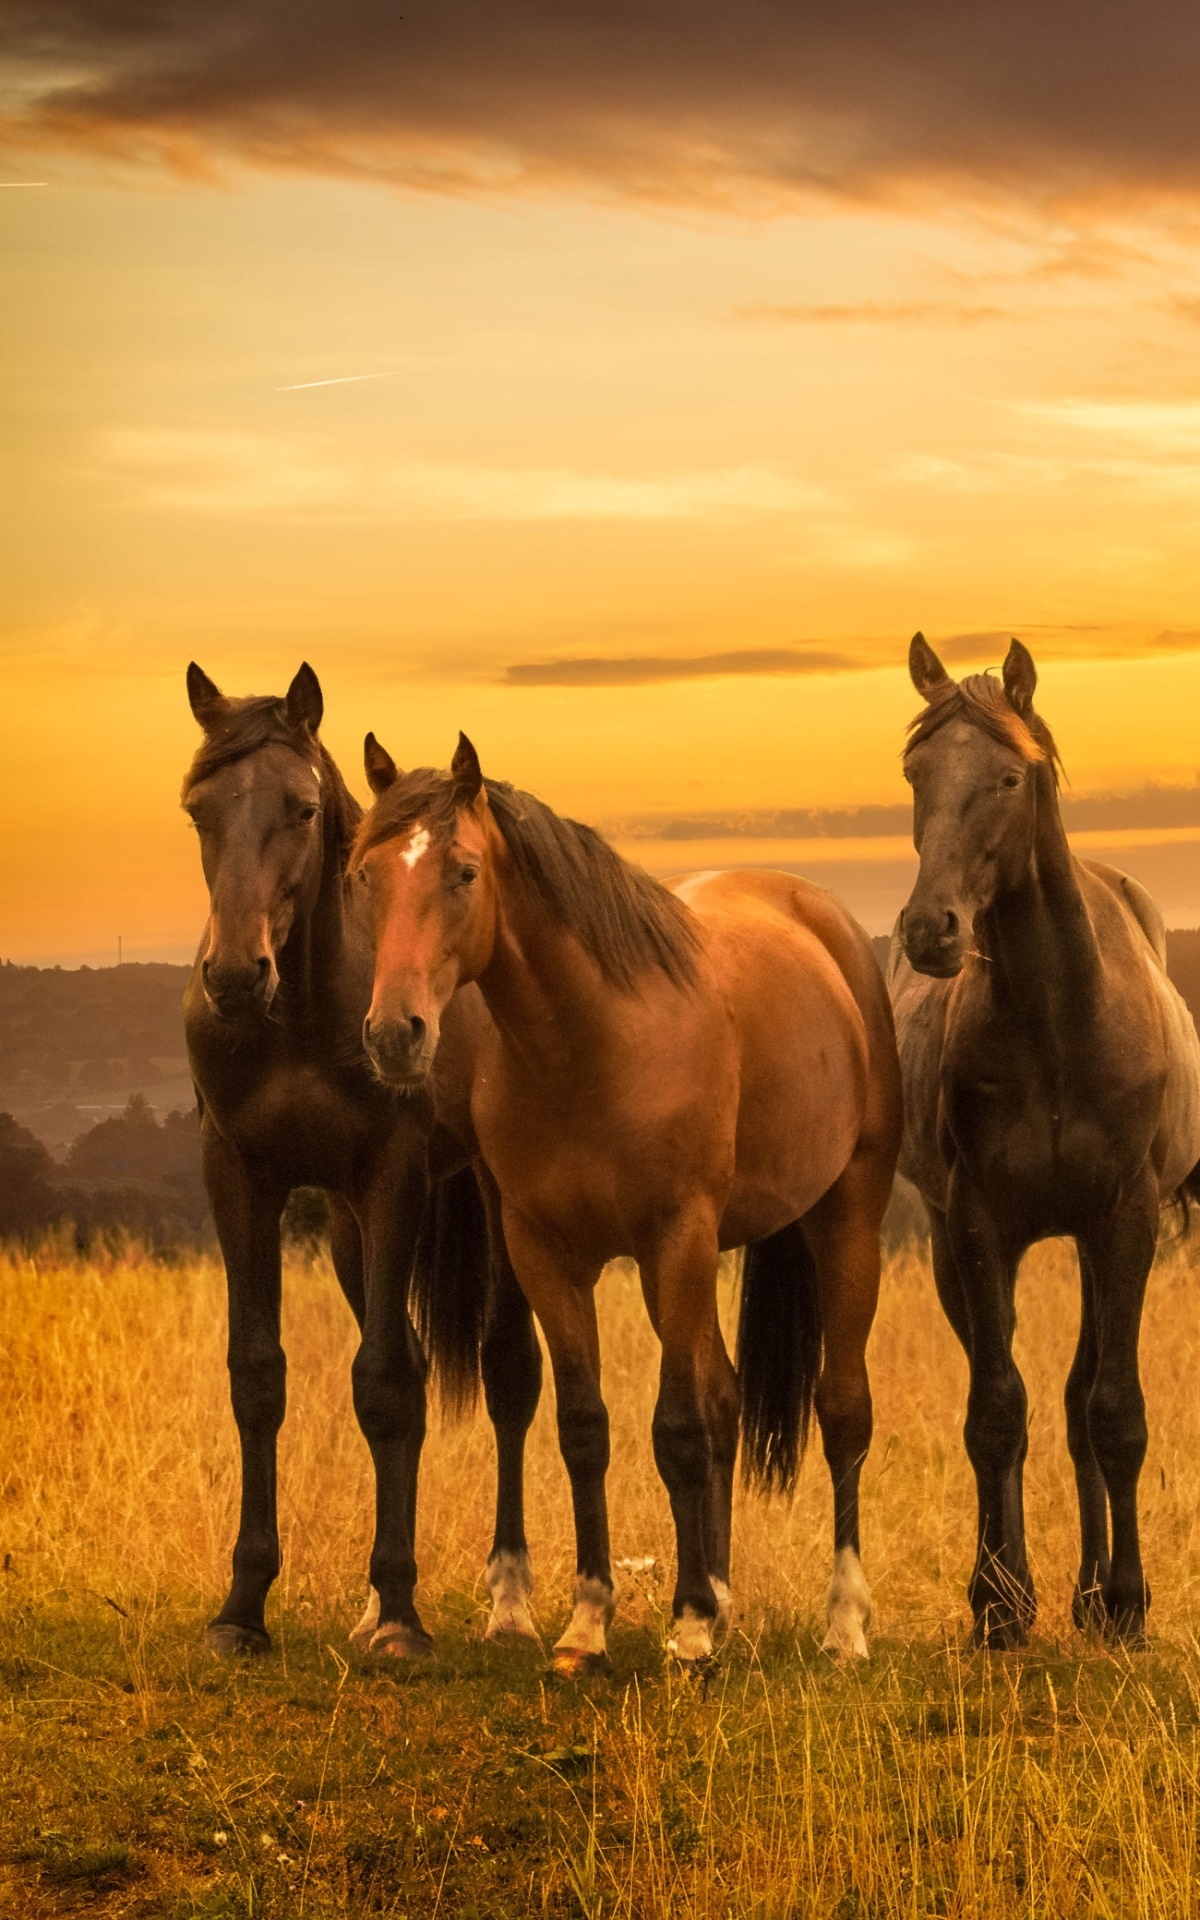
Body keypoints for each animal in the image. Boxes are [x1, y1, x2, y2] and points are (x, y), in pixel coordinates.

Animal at [181, 664, 543, 1660]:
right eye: (198, 811)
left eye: (304, 809)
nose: (235, 977)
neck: (303, 1014)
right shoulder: (242, 1179)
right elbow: (258, 1376)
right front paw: (243, 1607)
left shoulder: (394, 1177)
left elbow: (383, 1384)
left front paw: (404, 1620)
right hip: (348, 1231)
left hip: (489, 1209)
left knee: (508, 1376)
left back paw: (507, 1601)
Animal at [351, 730, 902, 1673]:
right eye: (365, 875)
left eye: (463, 871)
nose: (396, 1035)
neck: (593, 1041)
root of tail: (825, 925)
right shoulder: (546, 1254)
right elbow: (587, 1427)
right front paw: (589, 1625)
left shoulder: (673, 1237)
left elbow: (676, 1427)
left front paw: (687, 1629)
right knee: (727, 1400)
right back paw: (721, 1594)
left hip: (843, 1224)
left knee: (841, 1412)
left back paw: (841, 1625)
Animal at [889, 634, 1200, 1647]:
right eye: (915, 772)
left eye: (1009, 776)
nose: (930, 930)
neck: (1061, 1022)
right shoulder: (978, 1225)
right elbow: (996, 1410)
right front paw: (997, 1599)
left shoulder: (1126, 1221)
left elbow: (1114, 1412)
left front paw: (1129, 1601)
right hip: (962, 1251)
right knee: (1022, 1399)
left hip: (1100, 1245)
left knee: (1078, 1400)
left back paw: (1095, 1596)